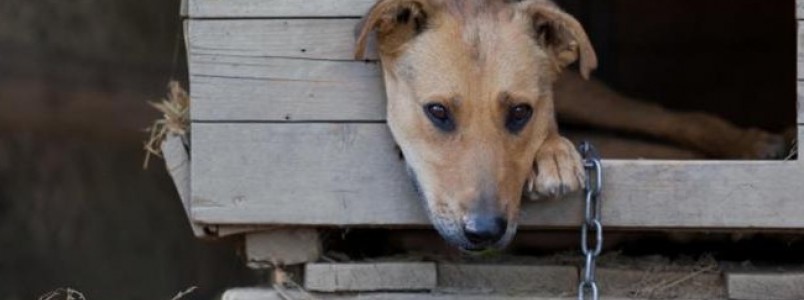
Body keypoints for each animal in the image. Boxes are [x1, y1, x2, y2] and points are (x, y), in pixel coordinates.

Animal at [354, 0, 788, 252]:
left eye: (520, 112)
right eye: (438, 112)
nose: (486, 231)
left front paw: (553, 153)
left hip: (590, 93)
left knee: (669, 120)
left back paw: (756, 147)